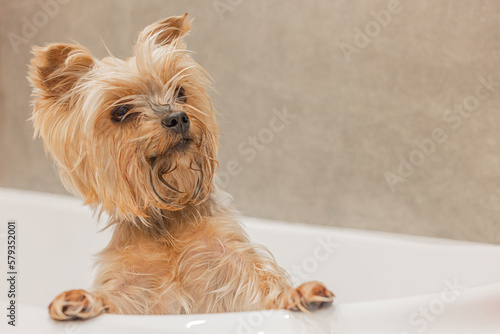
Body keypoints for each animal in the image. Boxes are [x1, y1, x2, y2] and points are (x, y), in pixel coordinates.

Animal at [27, 14, 334, 320]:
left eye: (180, 92)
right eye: (120, 112)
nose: (177, 117)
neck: (169, 211)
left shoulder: (232, 263)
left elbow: (265, 287)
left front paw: (298, 294)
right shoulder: (132, 288)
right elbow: (112, 298)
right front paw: (83, 300)